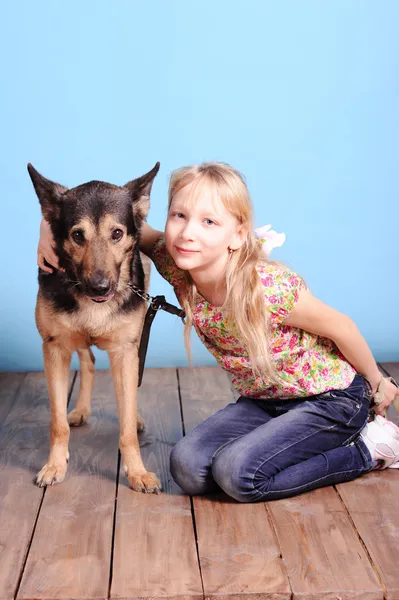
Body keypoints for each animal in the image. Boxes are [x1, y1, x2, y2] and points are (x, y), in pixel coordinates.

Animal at [27, 162, 162, 494]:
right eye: (77, 235)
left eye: (117, 233)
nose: (100, 287)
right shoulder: (54, 348)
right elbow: (57, 423)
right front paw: (55, 465)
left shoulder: (125, 352)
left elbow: (126, 426)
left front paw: (137, 472)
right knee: (88, 361)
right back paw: (81, 410)